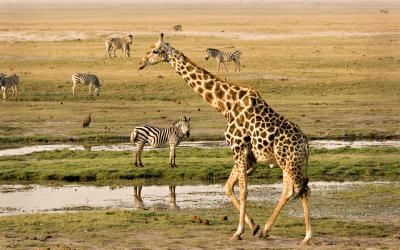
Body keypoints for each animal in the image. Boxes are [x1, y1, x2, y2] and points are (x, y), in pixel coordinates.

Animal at [139, 33, 310, 244]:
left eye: (155, 51)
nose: (141, 62)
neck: (225, 105)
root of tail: (306, 145)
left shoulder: (238, 147)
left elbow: (243, 190)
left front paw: (238, 231)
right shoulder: (246, 155)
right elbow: (228, 187)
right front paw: (253, 227)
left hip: (291, 162)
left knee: (304, 190)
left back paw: (307, 237)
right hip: (286, 162)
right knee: (289, 190)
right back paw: (266, 230)